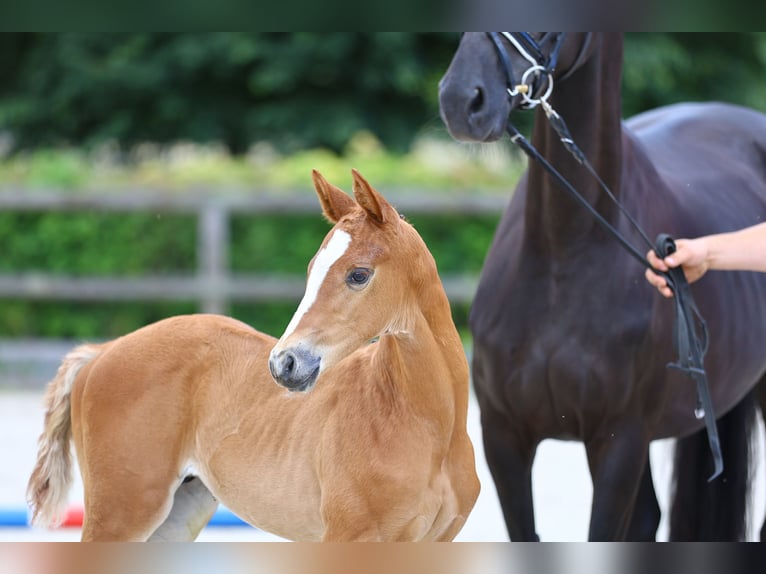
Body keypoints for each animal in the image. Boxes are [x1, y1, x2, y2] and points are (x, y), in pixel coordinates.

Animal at [28, 171, 480, 544]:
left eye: (358, 274)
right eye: (312, 269)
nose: (284, 364)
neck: (424, 423)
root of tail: (101, 352)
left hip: (178, 512)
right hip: (121, 512)